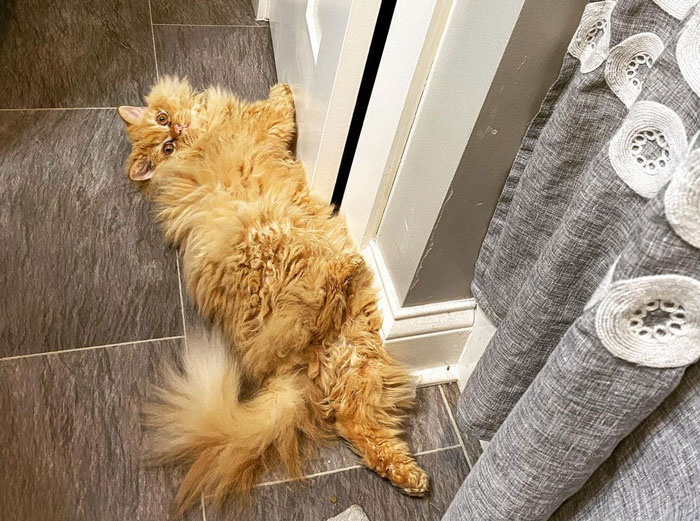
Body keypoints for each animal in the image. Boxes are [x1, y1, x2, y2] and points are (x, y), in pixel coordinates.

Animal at [118, 77, 429, 512]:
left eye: (163, 124)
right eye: (167, 146)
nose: (176, 129)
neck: (205, 132)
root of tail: (293, 368)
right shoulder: (264, 124)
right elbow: (277, 108)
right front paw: (283, 88)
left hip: (356, 359)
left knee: (356, 424)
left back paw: (408, 477)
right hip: (275, 249)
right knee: (302, 322)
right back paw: (339, 273)